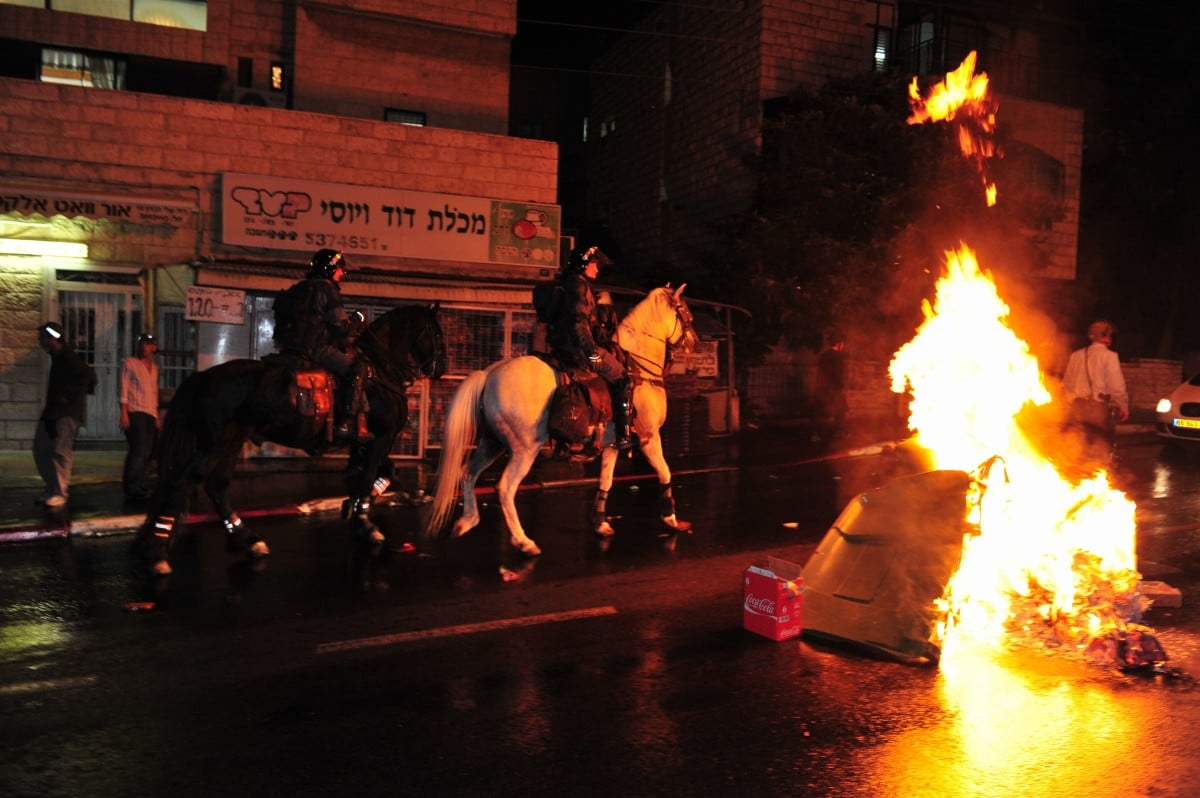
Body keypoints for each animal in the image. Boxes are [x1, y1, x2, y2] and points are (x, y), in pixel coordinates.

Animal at [137, 300, 446, 573]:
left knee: (217, 487)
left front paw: (357, 505)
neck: (380, 371)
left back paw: (248, 541)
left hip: (231, 443)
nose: (440, 369)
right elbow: (369, 476)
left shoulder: (366, 443)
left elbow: (378, 473)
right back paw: (158, 554)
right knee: (183, 483)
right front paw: (367, 526)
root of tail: (204, 377)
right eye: (436, 333)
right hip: (214, 446)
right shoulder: (380, 439)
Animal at [427, 284, 700, 554]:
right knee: (504, 488)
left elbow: (606, 480)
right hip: (524, 450)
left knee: (467, 473)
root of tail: (489, 375)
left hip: (492, 444)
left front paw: (600, 523)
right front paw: (670, 518)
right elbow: (664, 472)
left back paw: (467, 521)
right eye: (685, 313)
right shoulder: (649, 437)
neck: (638, 367)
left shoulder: (612, 445)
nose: (695, 343)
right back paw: (523, 542)